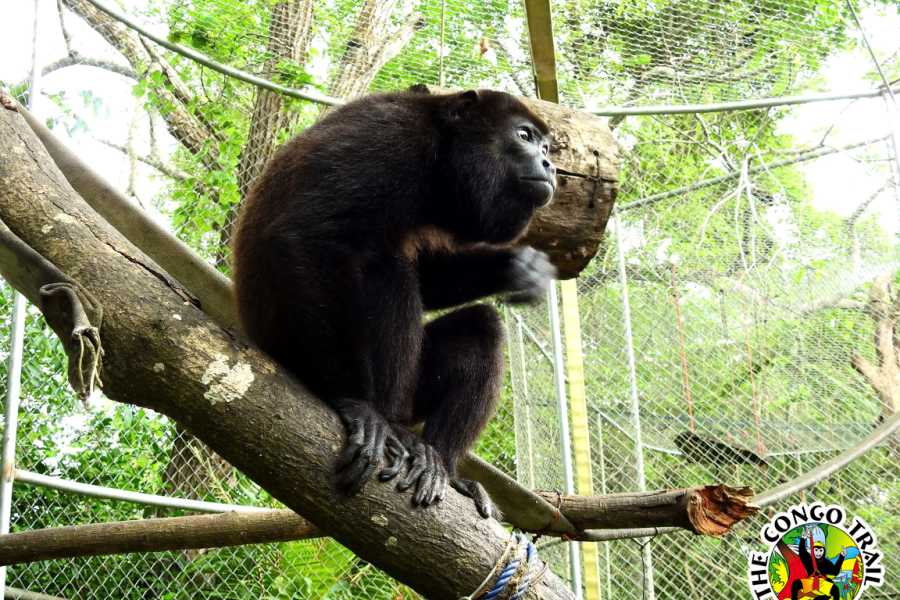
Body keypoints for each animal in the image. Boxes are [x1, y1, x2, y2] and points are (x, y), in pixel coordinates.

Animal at [231, 89, 557, 518]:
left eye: (546, 146)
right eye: (524, 136)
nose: (550, 164)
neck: (439, 159)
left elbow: (430, 278)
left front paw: (521, 267)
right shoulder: (389, 138)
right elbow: (299, 235)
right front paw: (348, 401)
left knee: (480, 327)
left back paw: (443, 464)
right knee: (383, 267)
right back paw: (383, 421)